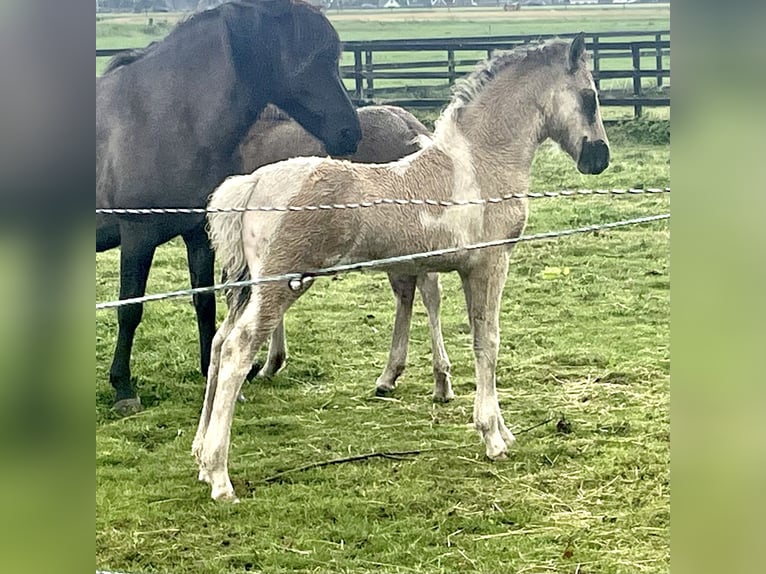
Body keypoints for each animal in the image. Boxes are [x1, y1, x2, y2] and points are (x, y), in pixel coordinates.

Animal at [97, 0, 364, 414]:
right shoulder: (136, 234)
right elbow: (130, 308)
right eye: (312, 60)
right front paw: (124, 388)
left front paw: (210, 368)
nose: (349, 132)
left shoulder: (197, 234)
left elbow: (204, 302)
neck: (161, 117)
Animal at [195, 37, 608, 504]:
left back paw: (202, 460)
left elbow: (475, 336)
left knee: (219, 342)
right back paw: (220, 476)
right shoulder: (490, 264)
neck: (478, 164)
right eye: (590, 97)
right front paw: (493, 437)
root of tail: (251, 185)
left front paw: (500, 429)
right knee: (237, 349)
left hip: (250, 286)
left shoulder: (464, 270)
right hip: (278, 287)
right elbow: (488, 342)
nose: (600, 157)